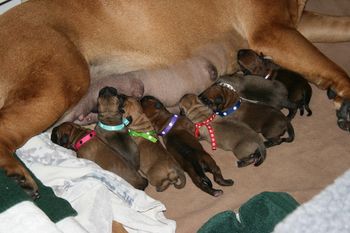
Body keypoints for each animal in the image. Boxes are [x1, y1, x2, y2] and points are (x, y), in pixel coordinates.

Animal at [0, 0, 350, 197]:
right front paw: (345, 96)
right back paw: (17, 173)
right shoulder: (273, 30)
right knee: (6, 131)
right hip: (58, 83)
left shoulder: (299, 22)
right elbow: (330, 64)